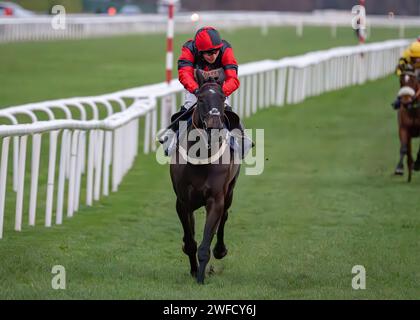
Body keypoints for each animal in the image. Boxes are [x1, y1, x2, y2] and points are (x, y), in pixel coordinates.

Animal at [168, 71, 240, 284]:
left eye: (222, 97)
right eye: (200, 98)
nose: (214, 126)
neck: (201, 158)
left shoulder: (216, 200)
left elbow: (205, 243)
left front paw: (200, 277)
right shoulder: (183, 202)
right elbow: (191, 241)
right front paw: (194, 271)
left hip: (230, 190)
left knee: (224, 217)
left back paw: (220, 250)